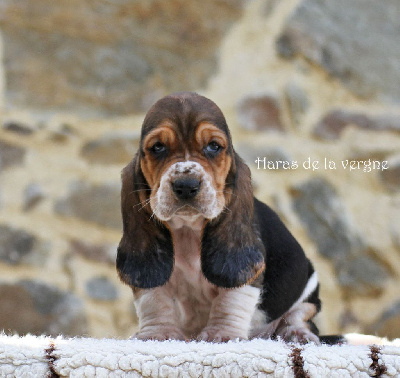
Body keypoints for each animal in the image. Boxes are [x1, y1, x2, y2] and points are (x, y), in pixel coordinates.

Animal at [116, 91, 322, 342]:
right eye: (157, 147)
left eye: (214, 146)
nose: (186, 185)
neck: (188, 228)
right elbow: (154, 300)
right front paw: (157, 333)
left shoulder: (246, 278)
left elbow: (231, 300)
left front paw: (222, 334)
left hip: (308, 286)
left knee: (301, 315)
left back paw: (296, 333)